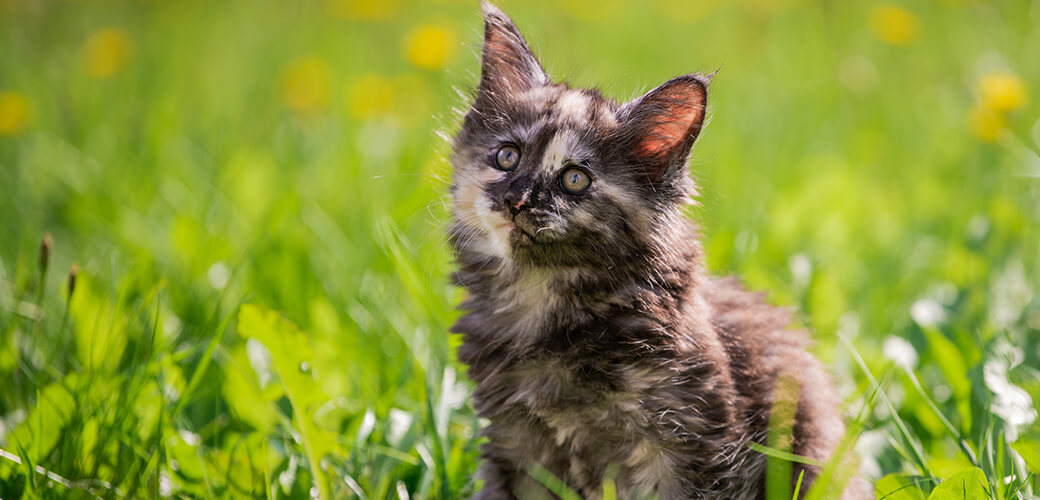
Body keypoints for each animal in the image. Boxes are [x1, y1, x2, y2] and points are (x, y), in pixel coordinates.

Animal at [447, 3, 861, 498]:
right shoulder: (514, 442)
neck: (542, 296)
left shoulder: (691, 443)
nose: (517, 200)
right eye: (507, 157)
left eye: (575, 179)